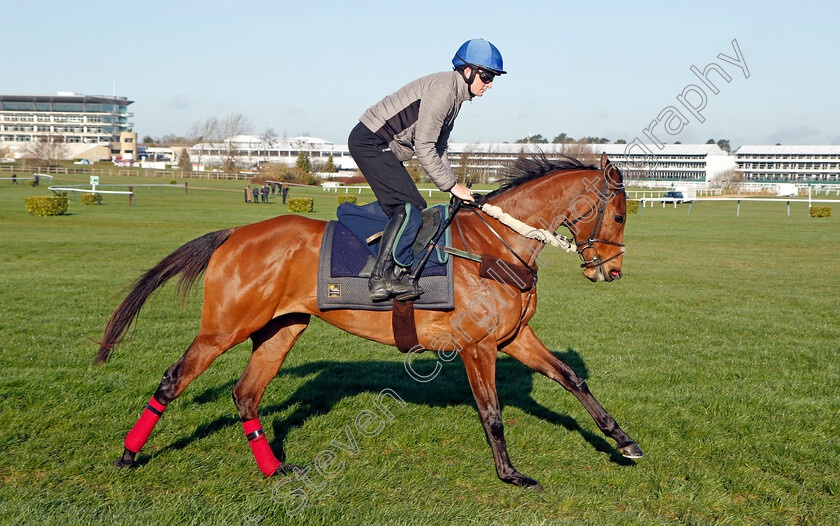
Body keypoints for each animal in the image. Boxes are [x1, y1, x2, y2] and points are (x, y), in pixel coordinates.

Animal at [97, 153, 644, 490]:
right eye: (619, 216)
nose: (612, 272)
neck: (496, 247)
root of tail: (235, 233)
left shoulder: (514, 337)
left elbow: (571, 379)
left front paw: (623, 441)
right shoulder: (478, 347)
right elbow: (492, 412)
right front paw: (510, 474)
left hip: (282, 328)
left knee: (246, 395)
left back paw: (276, 469)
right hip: (223, 329)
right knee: (173, 381)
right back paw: (126, 455)